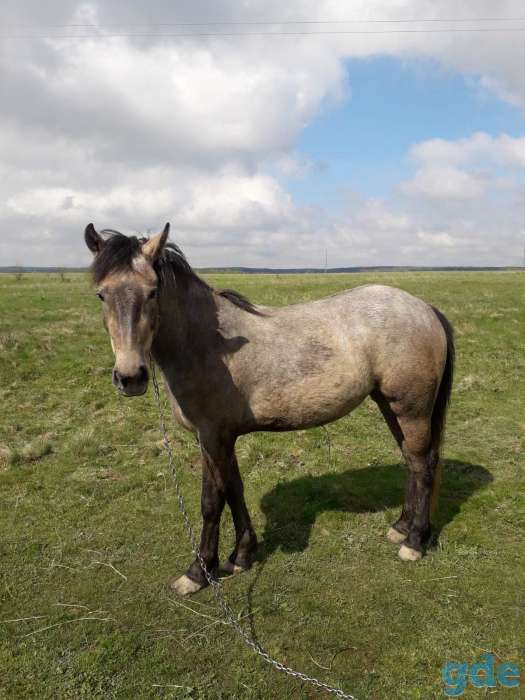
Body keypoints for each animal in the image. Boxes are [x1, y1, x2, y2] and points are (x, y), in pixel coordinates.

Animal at [84, 222, 454, 596]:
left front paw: (198, 572)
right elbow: (234, 489)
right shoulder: (221, 439)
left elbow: (211, 502)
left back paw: (414, 542)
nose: (130, 377)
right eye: (101, 294)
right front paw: (241, 556)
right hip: (390, 406)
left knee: (423, 465)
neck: (205, 343)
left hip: (411, 410)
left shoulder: (212, 437)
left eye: (152, 291)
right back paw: (400, 526)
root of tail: (425, 308)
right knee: (410, 461)